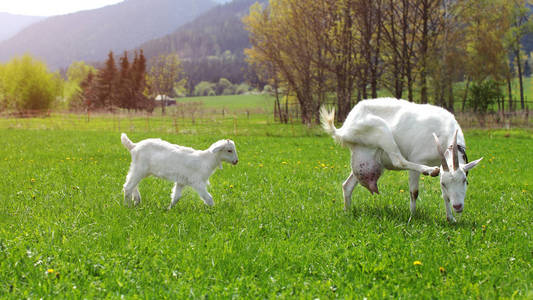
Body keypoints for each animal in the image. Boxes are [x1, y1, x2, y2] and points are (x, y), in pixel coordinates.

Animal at [320, 98, 482, 223]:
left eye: (465, 180)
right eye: (444, 183)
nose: (458, 207)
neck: (442, 132)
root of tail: (344, 128)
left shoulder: (443, 165)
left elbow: (444, 195)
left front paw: (450, 219)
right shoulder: (418, 158)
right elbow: (414, 192)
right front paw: (412, 216)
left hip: (366, 158)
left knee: (347, 185)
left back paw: (347, 212)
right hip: (382, 131)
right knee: (399, 160)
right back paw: (429, 170)